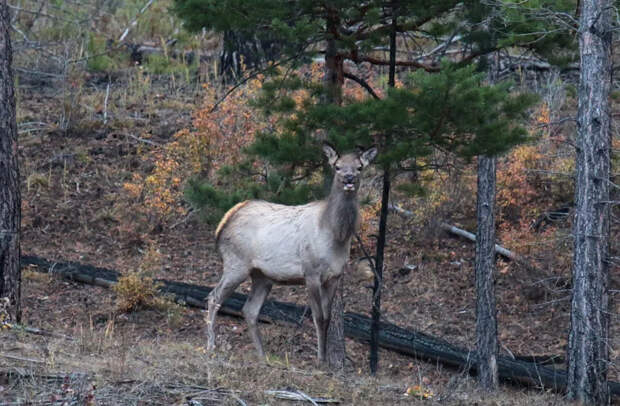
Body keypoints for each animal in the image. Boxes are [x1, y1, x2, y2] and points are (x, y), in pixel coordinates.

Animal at [207, 144, 378, 364]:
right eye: (337, 166)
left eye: (359, 167)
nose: (349, 179)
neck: (335, 235)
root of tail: (223, 223)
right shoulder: (311, 272)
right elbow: (318, 317)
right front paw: (320, 360)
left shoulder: (334, 276)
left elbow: (328, 318)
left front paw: (325, 360)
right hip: (236, 264)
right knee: (213, 297)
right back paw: (211, 345)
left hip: (262, 276)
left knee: (249, 309)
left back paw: (262, 355)